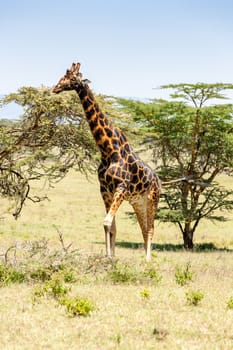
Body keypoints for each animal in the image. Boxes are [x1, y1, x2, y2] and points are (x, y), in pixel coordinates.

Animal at [52, 62, 161, 260]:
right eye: (63, 76)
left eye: (72, 78)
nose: (55, 88)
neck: (108, 149)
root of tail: (159, 180)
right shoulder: (104, 190)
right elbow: (111, 226)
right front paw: (109, 257)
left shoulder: (121, 187)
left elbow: (107, 222)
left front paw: (110, 257)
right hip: (138, 201)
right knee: (144, 228)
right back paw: (143, 258)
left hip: (152, 198)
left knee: (150, 229)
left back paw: (148, 260)